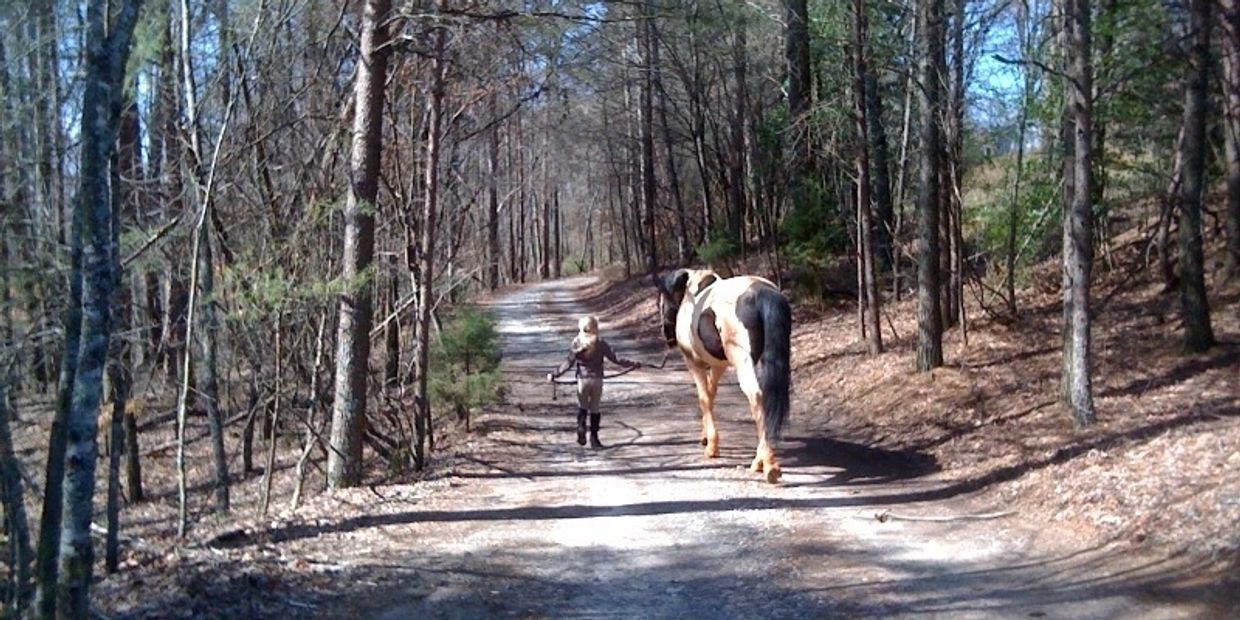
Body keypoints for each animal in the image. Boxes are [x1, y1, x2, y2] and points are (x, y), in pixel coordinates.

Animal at [654, 269, 788, 481]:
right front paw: (706, 437)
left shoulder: (694, 363)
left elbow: (704, 398)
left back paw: (767, 463)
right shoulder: (719, 365)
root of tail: (761, 292)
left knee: (755, 396)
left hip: (743, 361)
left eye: (661, 303)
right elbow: (711, 394)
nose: (667, 337)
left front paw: (711, 447)